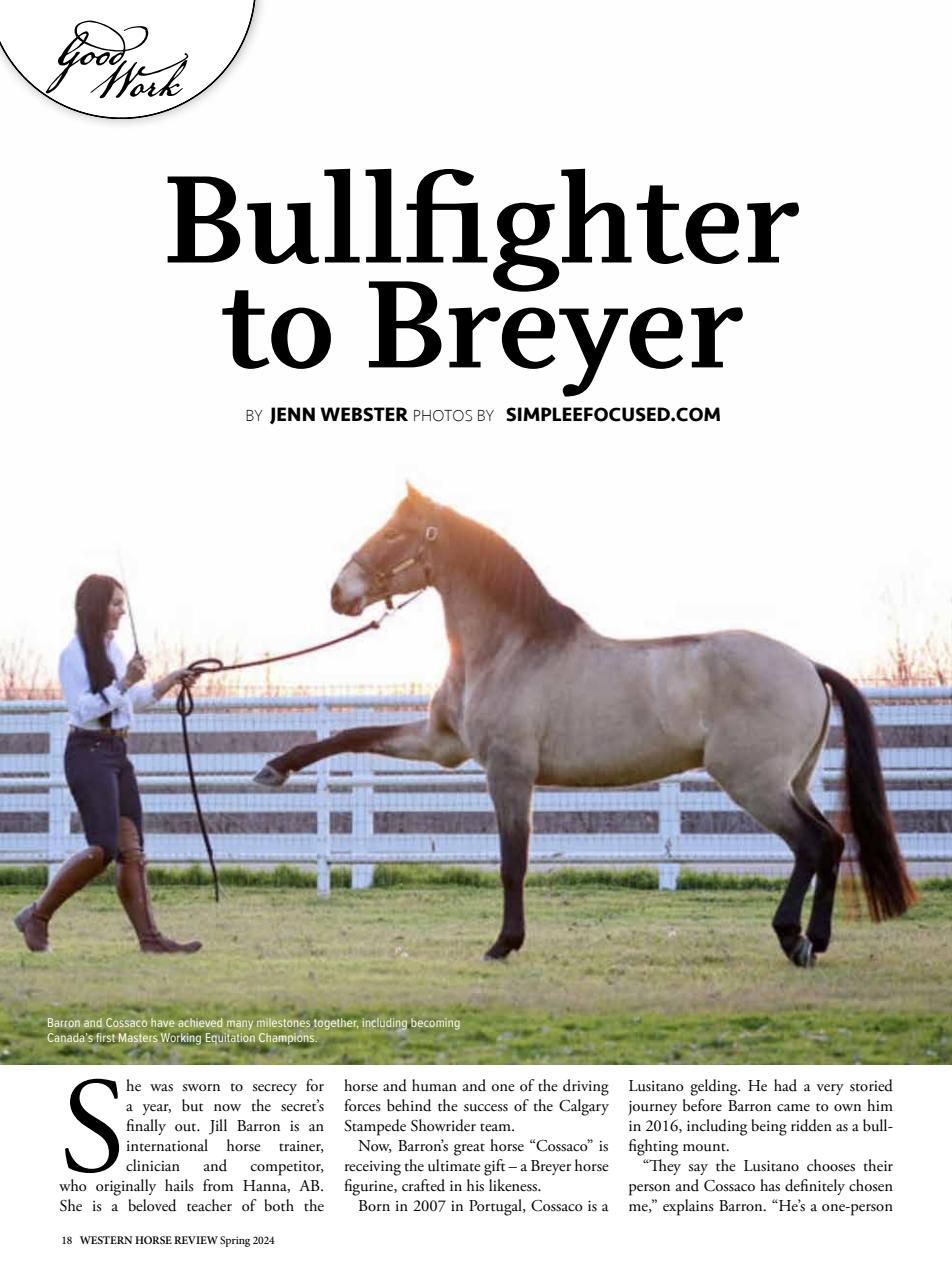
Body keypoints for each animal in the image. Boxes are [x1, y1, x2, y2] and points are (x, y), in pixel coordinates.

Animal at [253, 484, 916, 966]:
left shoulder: (508, 774)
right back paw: (814, 940)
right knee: (830, 843)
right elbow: (349, 736)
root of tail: (807, 664)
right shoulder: (442, 745)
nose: (339, 592)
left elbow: (512, 862)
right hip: (791, 782)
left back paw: (792, 938)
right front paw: (275, 769)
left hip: (753, 783)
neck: (508, 648)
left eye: (394, 533)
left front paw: (503, 945)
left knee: (812, 845)